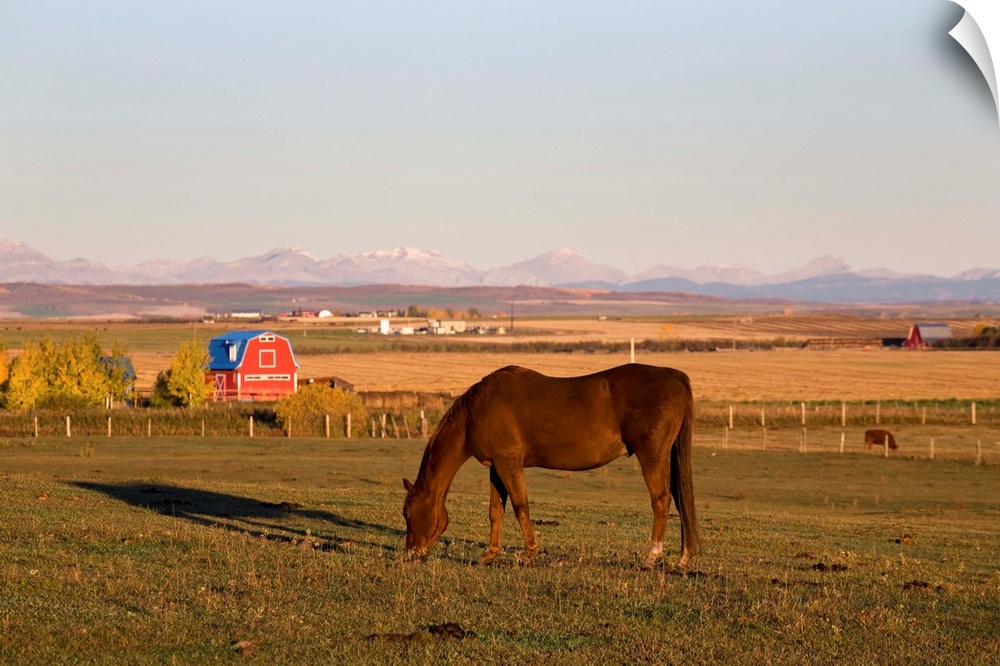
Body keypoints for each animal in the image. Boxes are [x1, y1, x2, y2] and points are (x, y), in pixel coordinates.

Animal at [402, 364, 700, 570]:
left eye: (406, 513)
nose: (410, 556)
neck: (477, 411)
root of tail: (675, 376)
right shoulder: (496, 466)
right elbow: (496, 511)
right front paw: (490, 554)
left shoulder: (509, 462)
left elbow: (521, 506)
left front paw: (529, 553)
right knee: (679, 500)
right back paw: (683, 558)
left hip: (652, 457)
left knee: (661, 501)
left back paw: (651, 557)